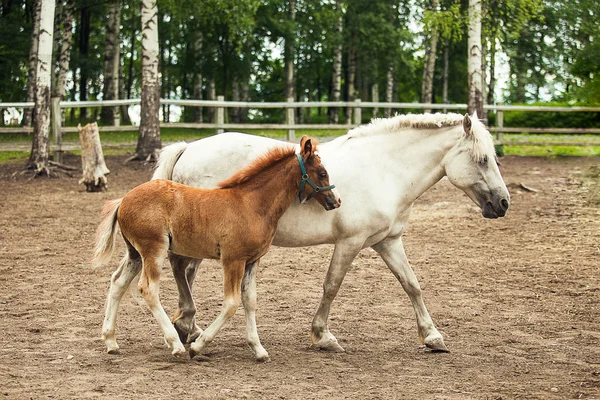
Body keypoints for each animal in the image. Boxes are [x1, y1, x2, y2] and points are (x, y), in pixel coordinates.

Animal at [91, 136, 340, 360]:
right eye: (322, 172)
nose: (336, 200)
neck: (252, 204)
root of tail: (123, 200)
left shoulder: (252, 261)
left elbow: (250, 300)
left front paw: (258, 349)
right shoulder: (233, 260)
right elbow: (231, 303)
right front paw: (198, 346)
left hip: (135, 253)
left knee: (118, 283)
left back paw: (111, 341)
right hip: (154, 250)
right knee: (148, 289)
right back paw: (176, 344)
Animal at [151, 112, 510, 354]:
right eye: (482, 159)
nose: (503, 203)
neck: (385, 170)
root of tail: (188, 148)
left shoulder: (388, 242)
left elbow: (412, 285)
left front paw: (432, 336)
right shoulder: (350, 243)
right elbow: (331, 286)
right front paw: (322, 336)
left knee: (185, 272)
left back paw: (189, 328)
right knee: (182, 269)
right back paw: (187, 326)